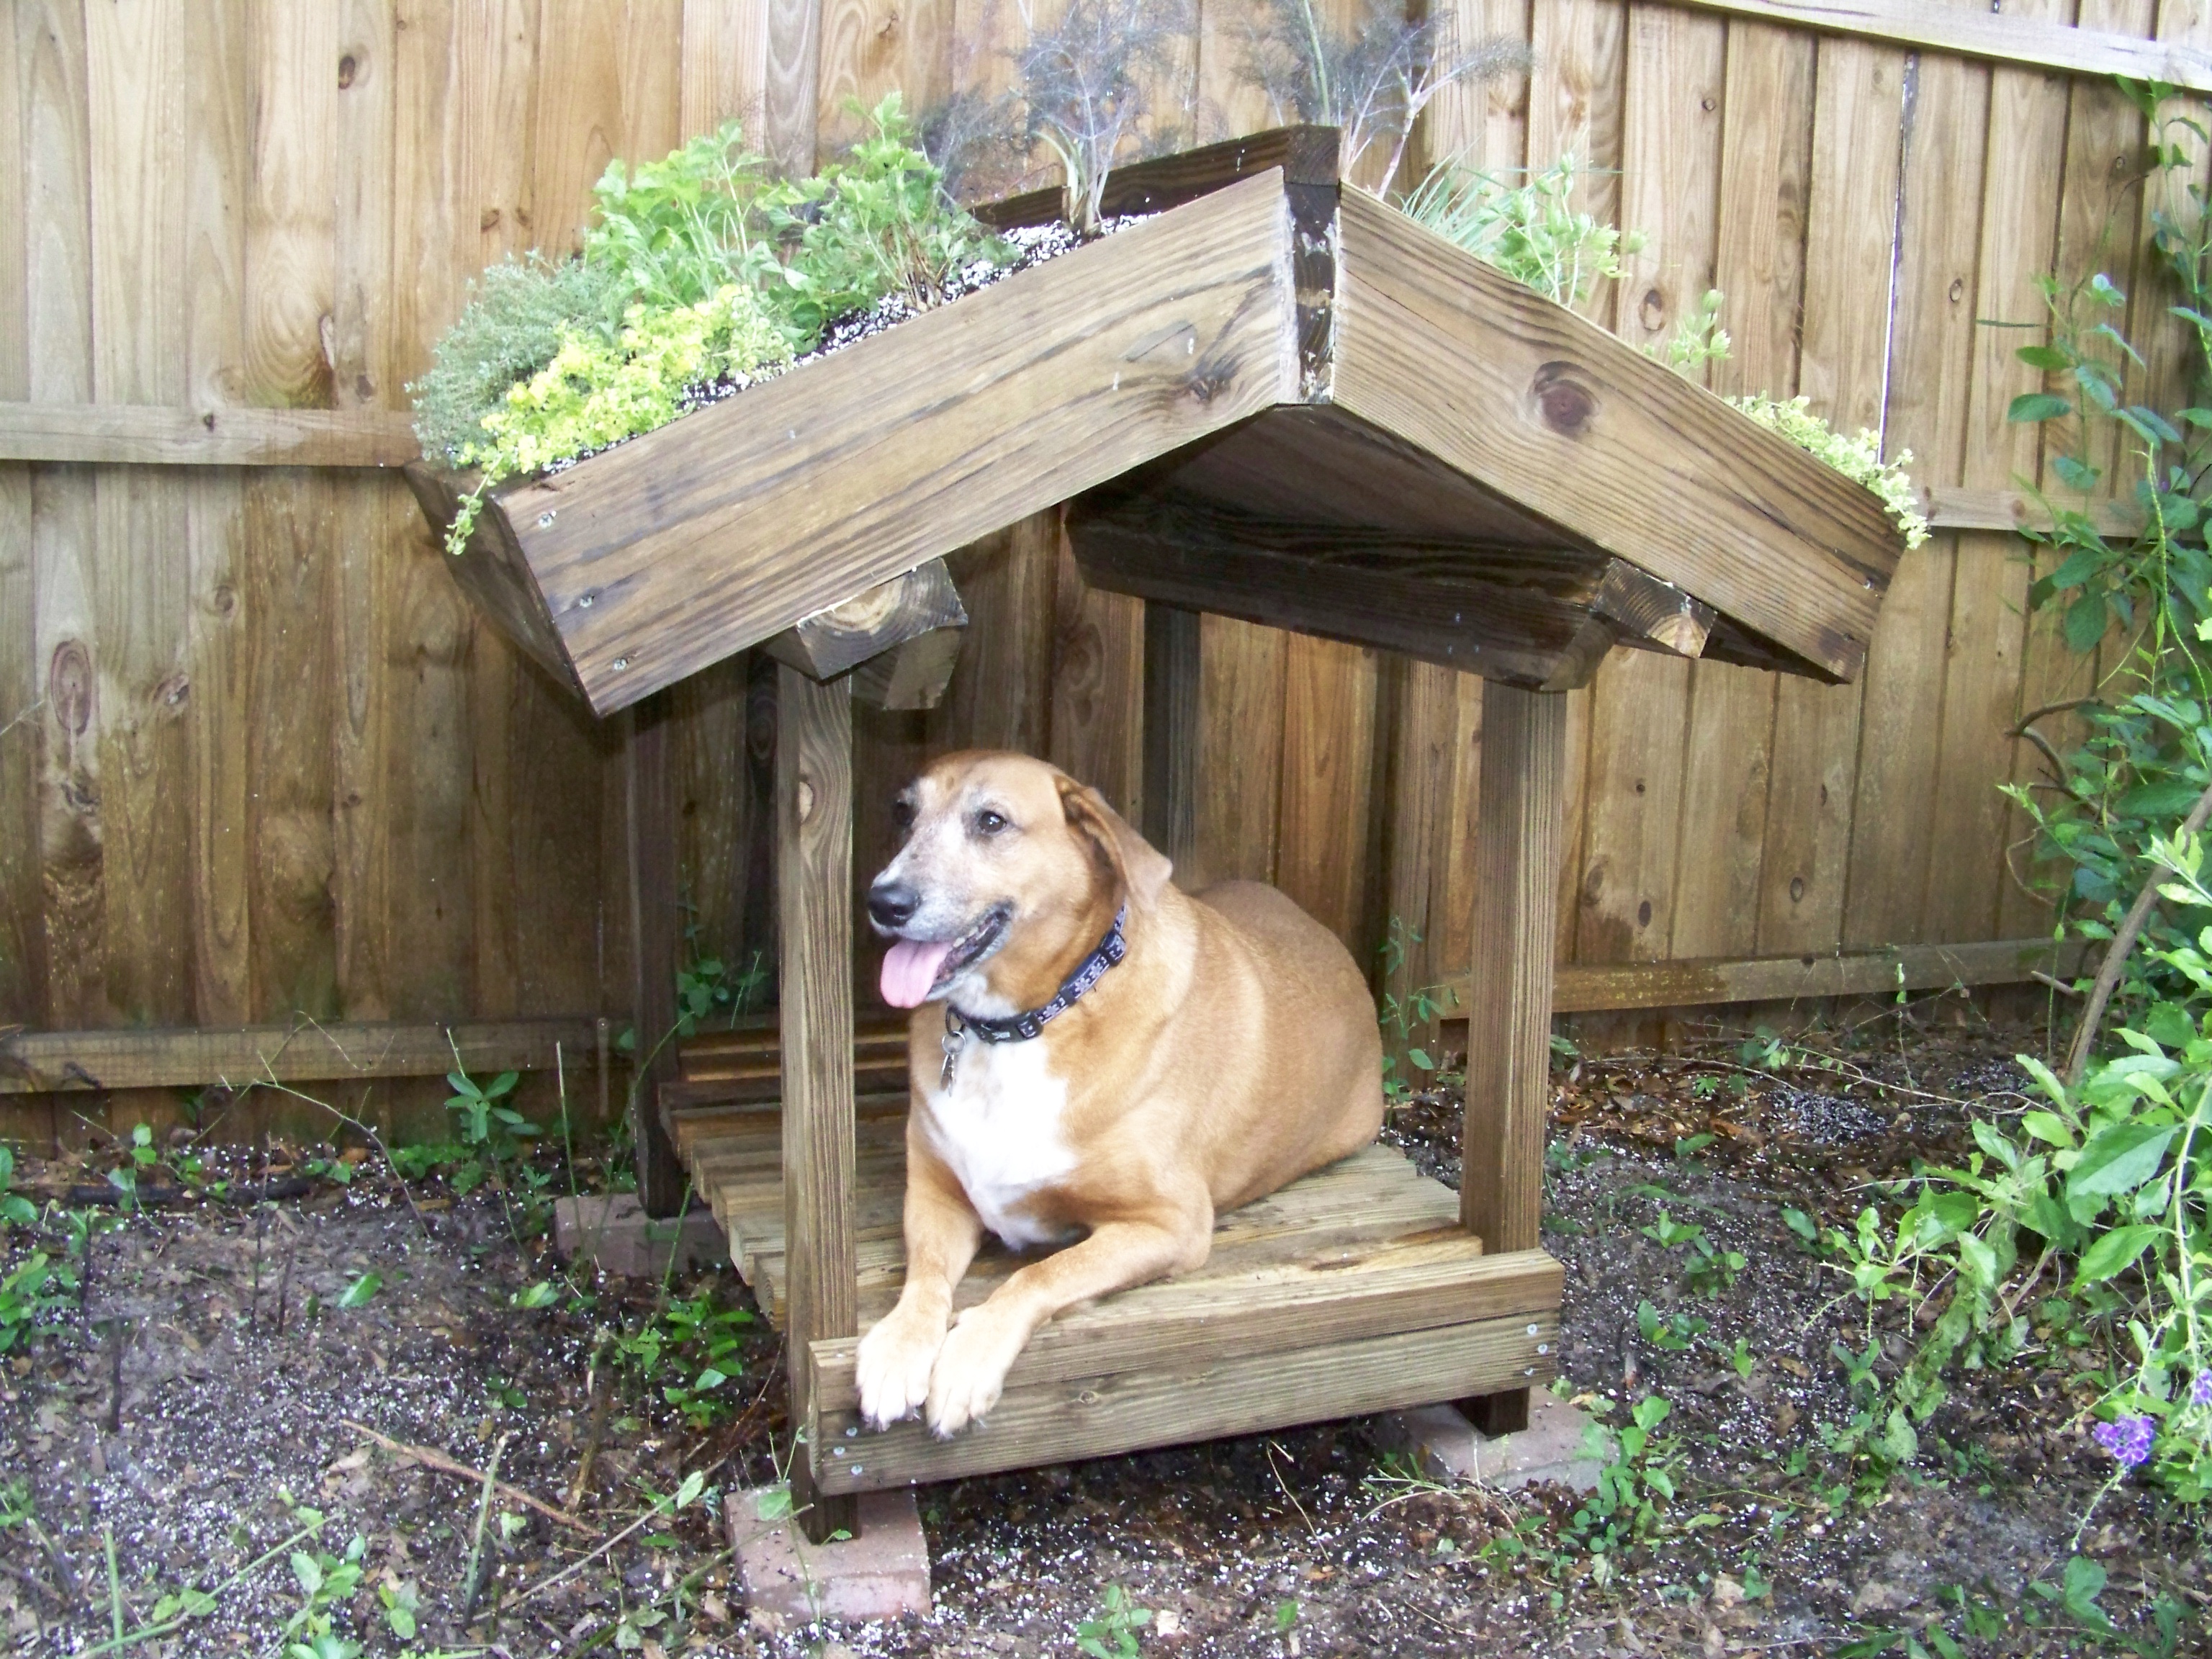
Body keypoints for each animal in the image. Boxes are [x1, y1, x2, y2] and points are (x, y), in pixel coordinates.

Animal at [849, 756, 1380, 1442]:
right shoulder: (936, 1194)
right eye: (903, 813)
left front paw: (969, 1358)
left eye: (991, 821)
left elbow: (1040, 1273)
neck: (1027, 1024)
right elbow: (926, 1275)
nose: (882, 900)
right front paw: (899, 1349)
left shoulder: (1170, 1224)